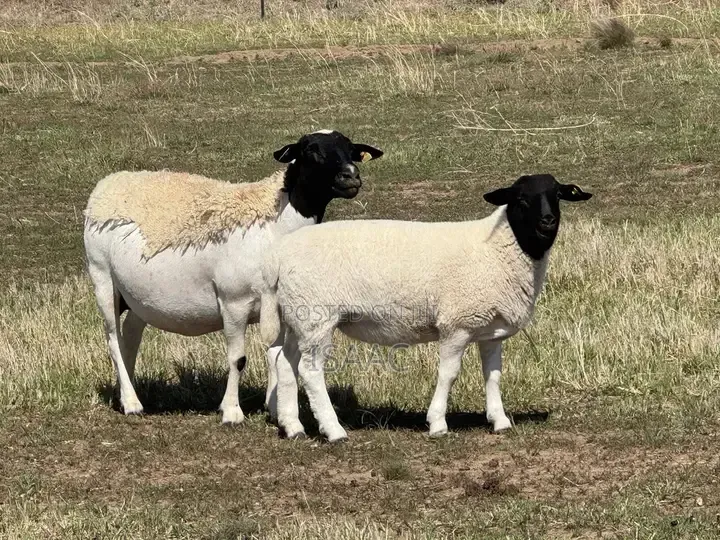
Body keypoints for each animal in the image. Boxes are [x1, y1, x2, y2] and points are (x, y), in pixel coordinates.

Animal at [83, 129, 383, 424]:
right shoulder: (233, 302)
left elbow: (275, 355)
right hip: (103, 278)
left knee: (130, 336)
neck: (274, 226)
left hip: (137, 297)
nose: (351, 176)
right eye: (311, 150)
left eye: (351, 150)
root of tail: (107, 184)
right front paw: (231, 412)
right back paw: (132, 403)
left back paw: (127, 393)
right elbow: (238, 359)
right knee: (113, 341)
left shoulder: (275, 306)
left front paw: (275, 410)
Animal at [260, 174, 592, 441]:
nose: (548, 221)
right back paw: (333, 430)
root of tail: (278, 256)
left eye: (558, 195)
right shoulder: (457, 324)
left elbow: (493, 374)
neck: (498, 249)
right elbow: (449, 374)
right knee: (310, 370)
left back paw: (293, 427)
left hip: (298, 316)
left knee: (285, 363)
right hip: (317, 314)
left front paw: (499, 421)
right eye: (521, 199)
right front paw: (437, 423)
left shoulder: (490, 329)